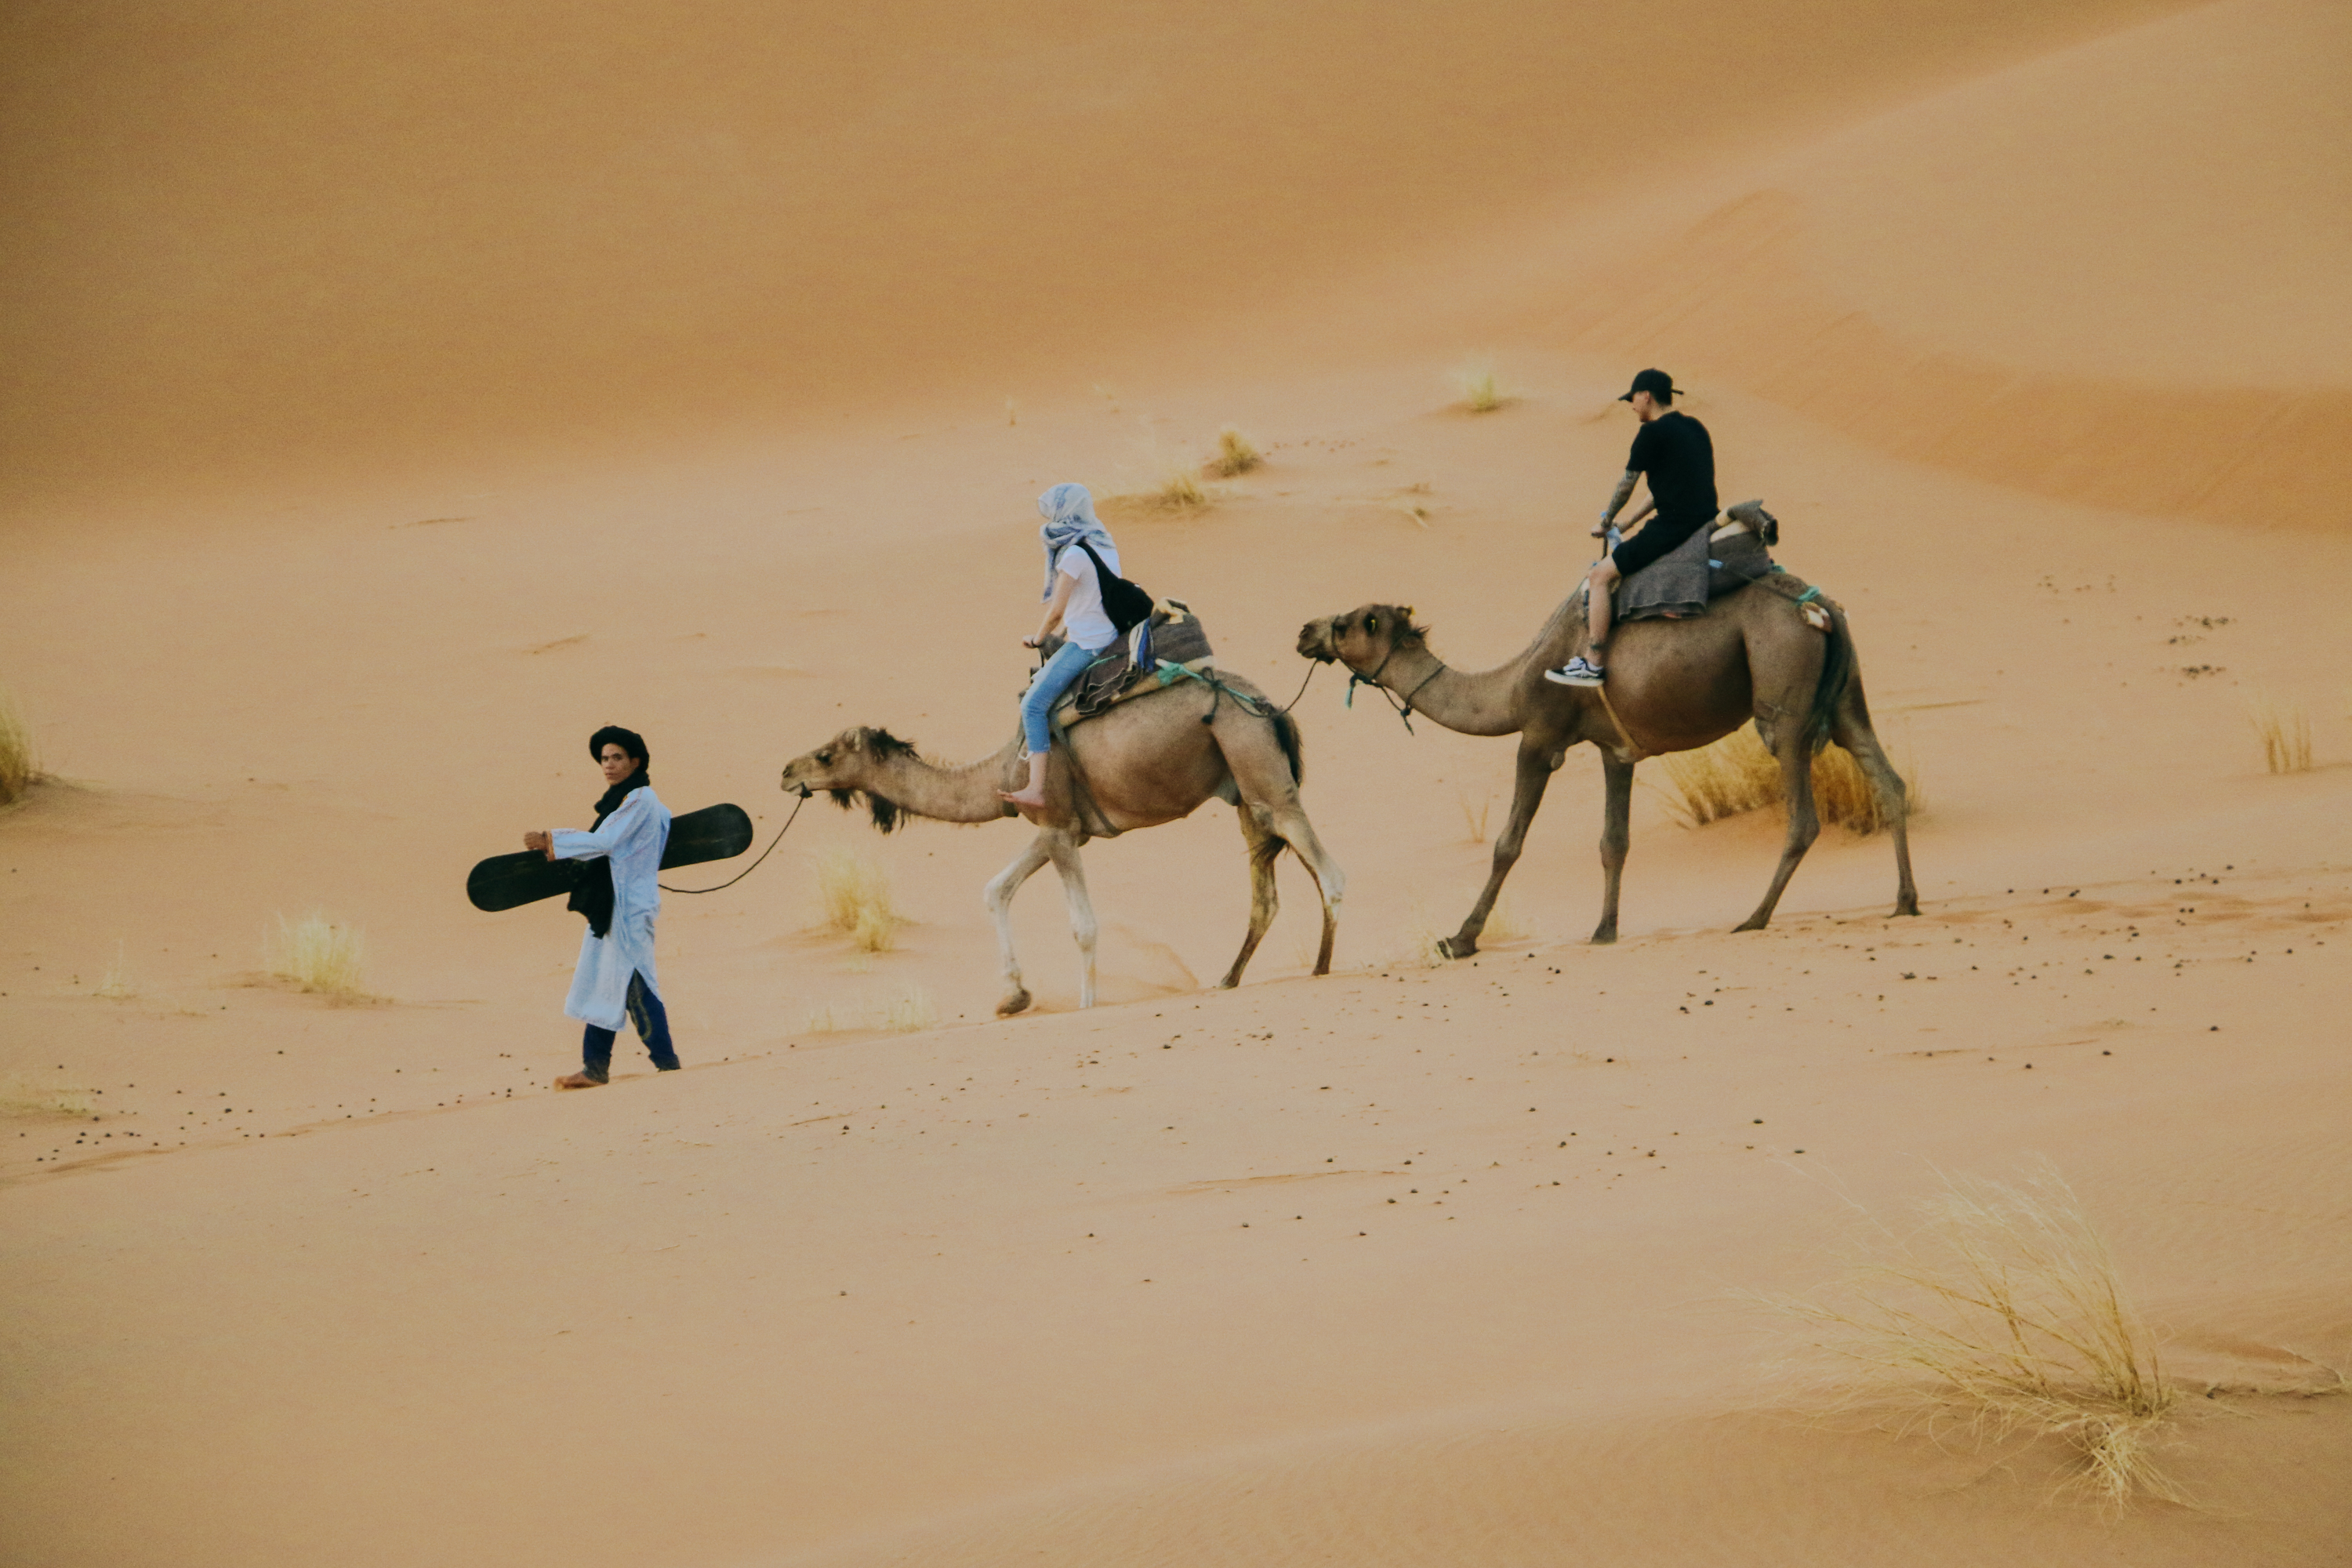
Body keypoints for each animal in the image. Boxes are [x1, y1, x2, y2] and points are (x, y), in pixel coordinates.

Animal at [777, 673, 1345, 1016]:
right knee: (1265, 890)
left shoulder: (1056, 827)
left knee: (1328, 870)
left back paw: (1321, 968)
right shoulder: (1061, 829)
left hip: (1259, 769)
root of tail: (1272, 708)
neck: (1001, 771)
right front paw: (1013, 996)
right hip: (1244, 793)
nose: (786, 771)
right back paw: (1228, 979)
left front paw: (1085, 1005)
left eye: (826, 755)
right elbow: (995, 890)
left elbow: (1083, 926)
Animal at [1297, 574, 1916, 953]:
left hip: (1782, 703)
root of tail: (1822, 609)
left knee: (1802, 815)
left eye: (1348, 623)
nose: (1305, 631)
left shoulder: (1540, 737)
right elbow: (1613, 842)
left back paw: (1754, 917)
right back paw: (1904, 903)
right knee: (1889, 781)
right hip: (1847, 699)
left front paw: (1459, 940)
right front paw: (1604, 930)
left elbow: (1507, 844)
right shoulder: (1615, 750)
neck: (1512, 686)